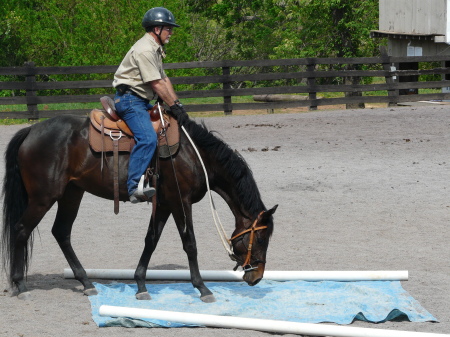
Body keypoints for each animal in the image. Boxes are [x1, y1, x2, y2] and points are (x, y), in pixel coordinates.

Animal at [2, 113, 278, 302]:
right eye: (261, 238)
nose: (257, 276)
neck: (193, 153)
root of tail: (30, 130)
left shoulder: (164, 204)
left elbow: (151, 240)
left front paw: (141, 284)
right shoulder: (181, 201)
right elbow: (190, 244)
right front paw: (202, 288)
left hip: (71, 194)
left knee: (61, 232)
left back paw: (86, 282)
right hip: (43, 198)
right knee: (21, 229)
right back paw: (20, 285)